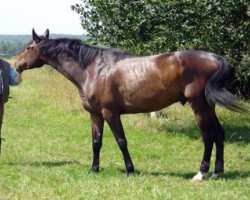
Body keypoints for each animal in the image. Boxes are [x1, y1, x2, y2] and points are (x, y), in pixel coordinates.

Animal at [16, 28, 246, 180]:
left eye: (29, 47)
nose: (17, 65)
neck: (93, 69)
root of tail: (214, 57)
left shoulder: (110, 113)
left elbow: (121, 141)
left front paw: (130, 169)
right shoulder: (95, 114)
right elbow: (96, 142)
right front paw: (94, 169)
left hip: (198, 105)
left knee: (208, 137)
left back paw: (201, 173)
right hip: (208, 106)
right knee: (219, 134)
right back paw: (217, 172)